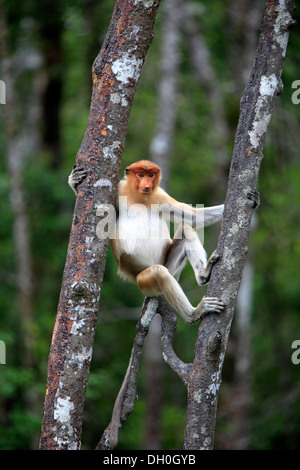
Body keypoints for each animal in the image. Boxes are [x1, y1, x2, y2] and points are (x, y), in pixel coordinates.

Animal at [69, 159, 225, 324]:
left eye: (151, 175)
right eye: (141, 175)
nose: (147, 185)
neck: (139, 197)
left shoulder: (159, 195)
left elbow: (194, 217)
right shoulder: (119, 190)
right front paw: (75, 180)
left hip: (169, 266)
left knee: (185, 229)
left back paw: (203, 275)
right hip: (144, 281)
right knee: (159, 273)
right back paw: (194, 314)